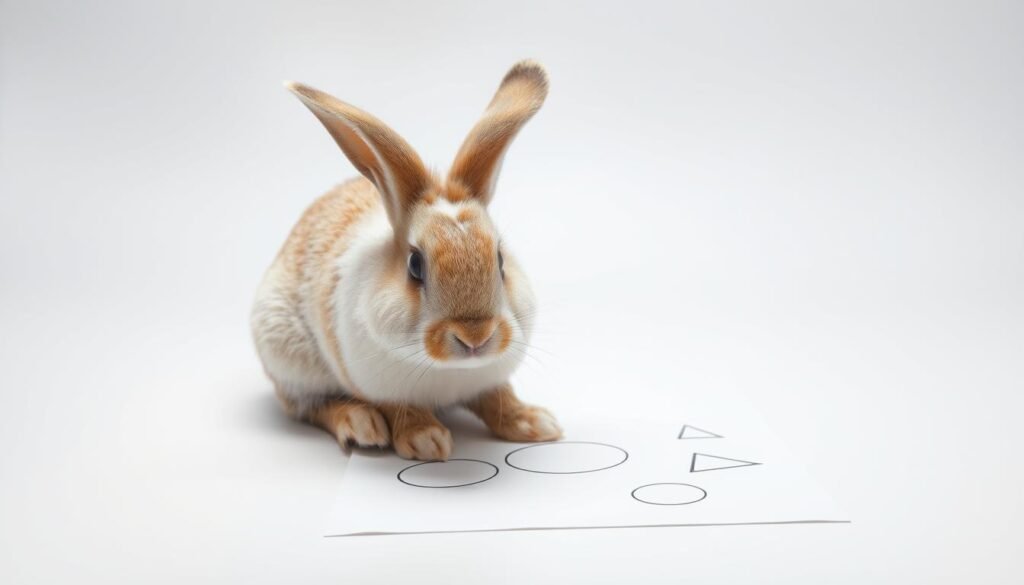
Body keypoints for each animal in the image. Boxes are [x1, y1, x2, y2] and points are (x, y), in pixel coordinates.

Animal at [251, 60, 562, 461]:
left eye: (500, 259)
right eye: (415, 266)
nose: (475, 337)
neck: (451, 371)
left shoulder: (490, 380)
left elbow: (498, 398)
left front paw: (535, 423)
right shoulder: (379, 386)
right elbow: (400, 408)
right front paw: (426, 440)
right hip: (287, 354)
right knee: (307, 406)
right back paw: (360, 424)